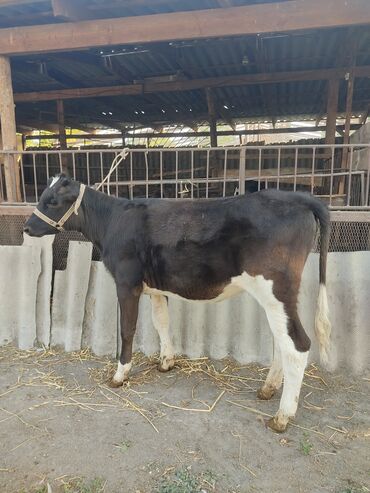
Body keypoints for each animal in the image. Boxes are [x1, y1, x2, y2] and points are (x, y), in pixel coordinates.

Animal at [26, 176, 332, 430]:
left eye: (52, 201)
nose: (28, 227)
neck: (111, 221)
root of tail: (298, 198)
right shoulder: (155, 287)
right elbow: (161, 322)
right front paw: (166, 362)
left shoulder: (126, 283)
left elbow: (127, 329)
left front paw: (120, 374)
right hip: (275, 298)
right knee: (282, 340)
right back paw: (268, 389)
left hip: (275, 288)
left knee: (298, 345)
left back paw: (282, 416)